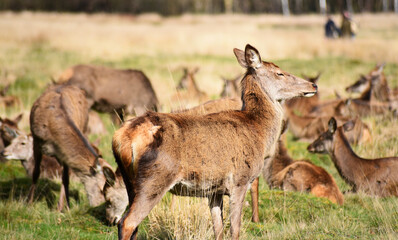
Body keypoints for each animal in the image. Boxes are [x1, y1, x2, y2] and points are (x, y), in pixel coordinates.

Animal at [27, 83, 112, 211]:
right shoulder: (36, 141)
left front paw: (62, 208)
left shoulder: (63, 154)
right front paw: (29, 203)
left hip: (85, 127)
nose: (98, 206)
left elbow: (65, 178)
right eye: (102, 190)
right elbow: (36, 172)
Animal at [109, 44, 318, 239]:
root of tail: (122, 137)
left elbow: (218, 229)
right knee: (127, 222)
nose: (313, 86)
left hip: (130, 181)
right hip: (155, 178)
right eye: (279, 72)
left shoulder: (213, 190)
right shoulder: (240, 181)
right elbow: (235, 230)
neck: (259, 132)